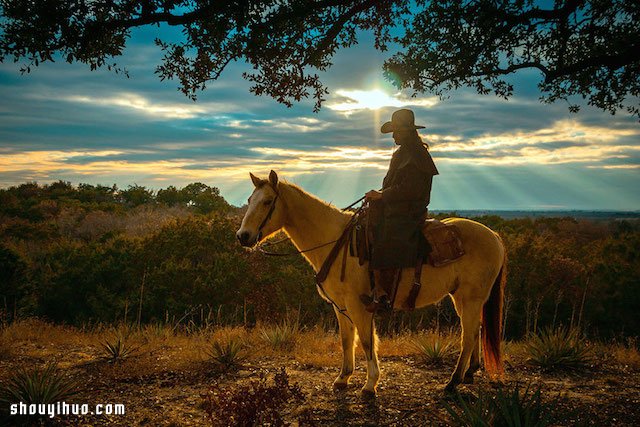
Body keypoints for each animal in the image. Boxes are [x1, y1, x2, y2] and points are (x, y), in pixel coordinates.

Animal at [235, 171, 504, 398]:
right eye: (249, 199)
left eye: (267, 201)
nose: (243, 236)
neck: (335, 241)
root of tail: (495, 236)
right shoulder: (340, 306)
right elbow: (347, 340)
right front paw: (343, 378)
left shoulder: (358, 305)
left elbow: (365, 340)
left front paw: (370, 384)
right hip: (464, 299)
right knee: (476, 330)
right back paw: (469, 373)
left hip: (470, 298)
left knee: (468, 335)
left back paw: (453, 382)